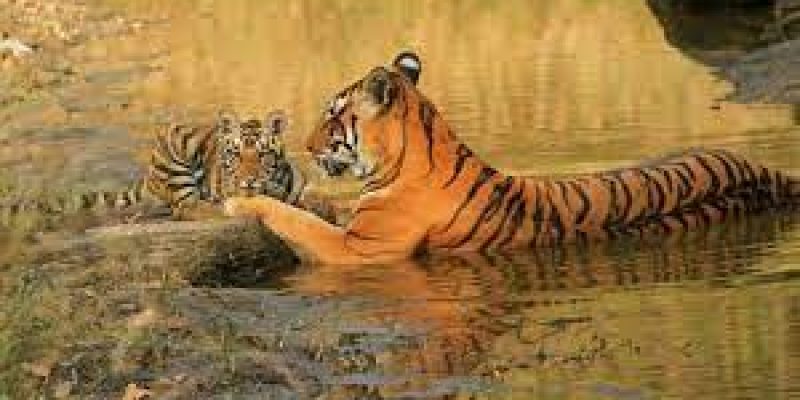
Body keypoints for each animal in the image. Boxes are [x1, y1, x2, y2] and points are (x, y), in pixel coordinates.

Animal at [1, 109, 335, 223]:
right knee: (186, 207)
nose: (248, 181)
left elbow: (318, 200)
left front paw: (322, 208)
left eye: (263, 155)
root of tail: (148, 173)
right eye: (236, 155)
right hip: (176, 147)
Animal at [223, 52, 800, 265]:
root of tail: (772, 173)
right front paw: (312, 195)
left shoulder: (359, 250)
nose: (308, 145)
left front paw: (239, 202)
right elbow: (323, 209)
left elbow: (295, 220)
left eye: (333, 115)